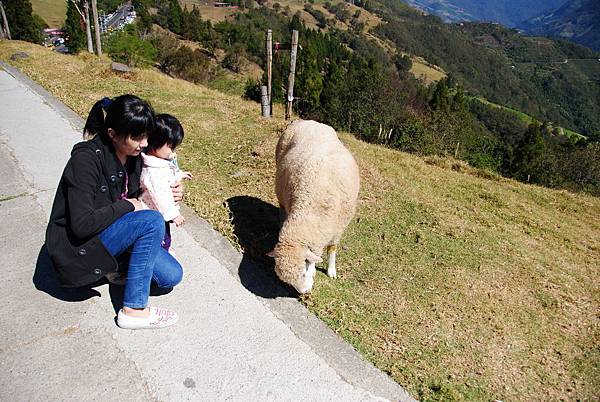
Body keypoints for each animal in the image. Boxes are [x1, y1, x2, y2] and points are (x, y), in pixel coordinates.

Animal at [268, 120, 360, 296]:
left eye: (303, 272)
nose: (305, 292)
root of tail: (309, 121)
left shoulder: (338, 227)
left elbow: (332, 248)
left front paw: (331, 270)